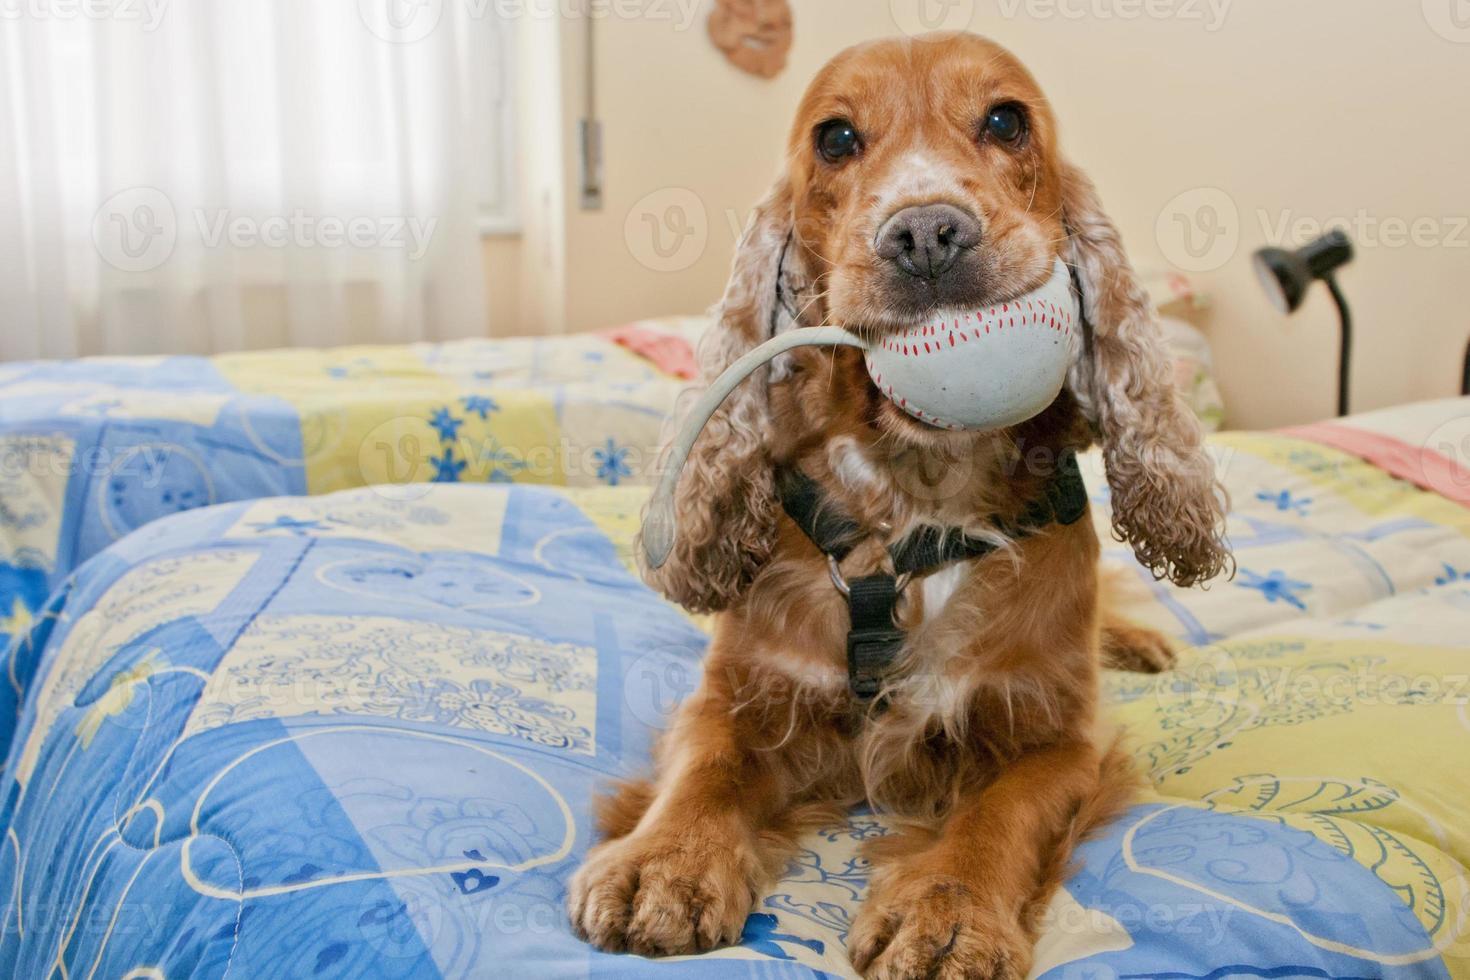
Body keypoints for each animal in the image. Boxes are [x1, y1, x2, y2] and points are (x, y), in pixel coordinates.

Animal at [570, 32, 1228, 980]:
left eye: (1006, 120)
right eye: (836, 138)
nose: (925, 233)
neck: (918, 494)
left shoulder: (1056, 738)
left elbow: (999, 814)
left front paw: (946, 911)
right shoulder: (743, 691)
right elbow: (706, 769)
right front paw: (663, 865)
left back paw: (1141, 641)